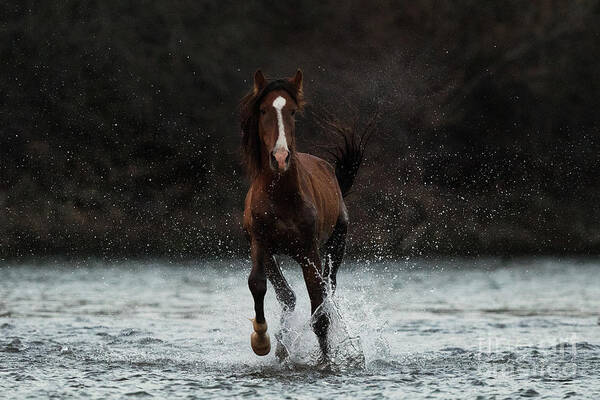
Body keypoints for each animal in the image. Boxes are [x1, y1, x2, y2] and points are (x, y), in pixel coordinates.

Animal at [239, 69, 366, 360]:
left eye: (293, 111)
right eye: (263, 110)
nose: (280, 157)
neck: (281, 197)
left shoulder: (309, 252)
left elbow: (319, 308)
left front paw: (326, 360)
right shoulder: (260, 243)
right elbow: (258, 284)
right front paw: (261, 340)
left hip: (336, 245)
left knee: (328, 291)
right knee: (287, 296)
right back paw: (282, 345)